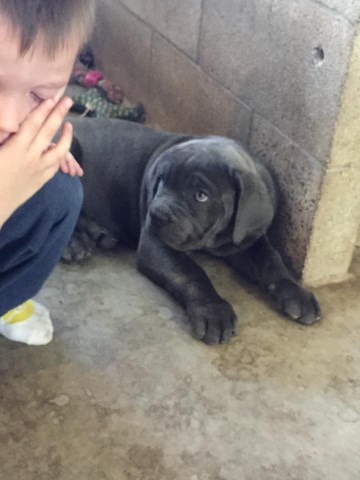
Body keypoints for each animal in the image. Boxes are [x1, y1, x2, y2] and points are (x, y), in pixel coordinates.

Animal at [65, 116, 320, 344]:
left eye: (201, 195)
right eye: (161, 180)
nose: (155, 214)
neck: (215, 241)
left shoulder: (247, 238)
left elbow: (270, 259)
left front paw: (296, 292)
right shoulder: (156, 243)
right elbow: (191, 272)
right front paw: (212, 311)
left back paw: (98, 232)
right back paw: (74, 244)